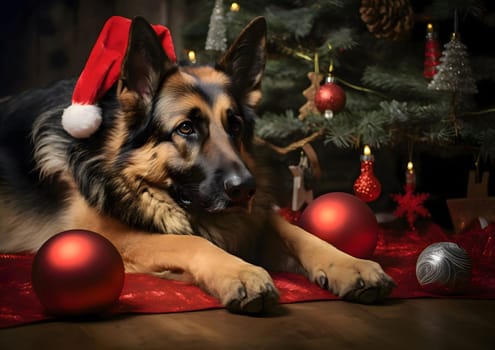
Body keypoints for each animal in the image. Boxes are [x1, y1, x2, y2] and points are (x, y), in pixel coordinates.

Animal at [0, 16, 396, 314]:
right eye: (186, 128)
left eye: (234, 125)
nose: (246, 189)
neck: (116, 157)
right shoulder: (108, 235)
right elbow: (191, 241)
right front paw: (239, 272)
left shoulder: (252, 218)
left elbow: (300, 232)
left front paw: (351, 264)